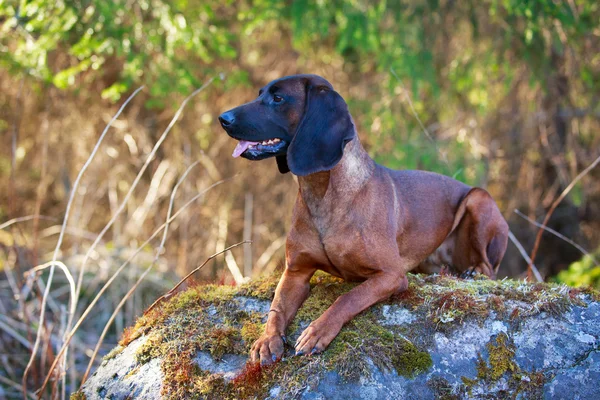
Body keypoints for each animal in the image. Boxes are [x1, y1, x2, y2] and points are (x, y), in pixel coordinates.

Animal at [218, 73, 508, 364]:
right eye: (260, 94)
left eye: (278, 98)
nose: (223, 118)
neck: (323, 194)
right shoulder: (295, 272)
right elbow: (276, 308)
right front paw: (267, 340)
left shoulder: (391, 275)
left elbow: (349, 298)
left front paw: (317, 330)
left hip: (478, 199)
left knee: (490, 269)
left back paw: (473, 272)